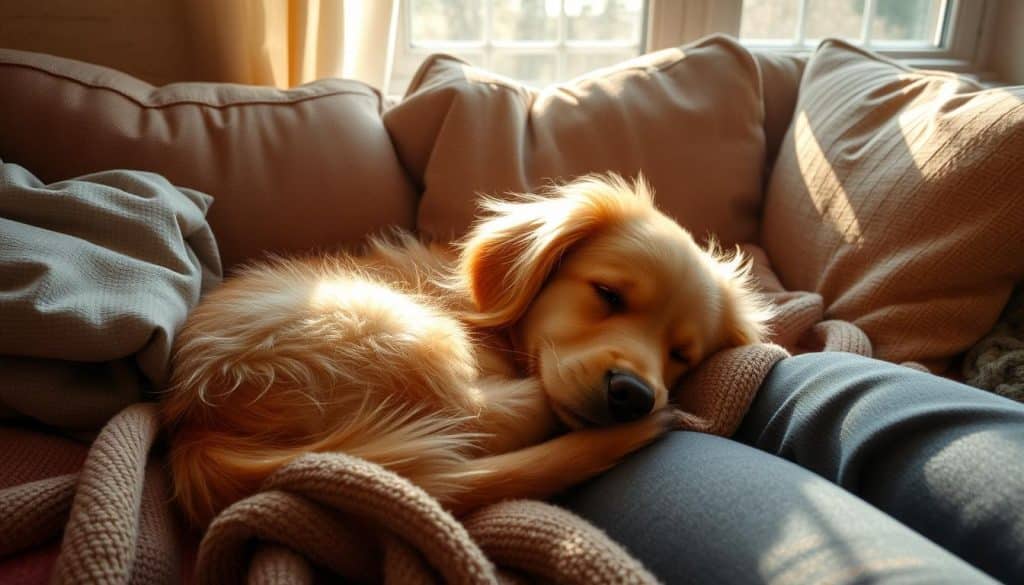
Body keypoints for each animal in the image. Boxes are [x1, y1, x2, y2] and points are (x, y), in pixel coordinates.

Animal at [159, 173, 770, 524]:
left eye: (682, 353)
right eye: (607, 293)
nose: (635, 395)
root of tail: (199, 430)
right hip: (399, 332)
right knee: (481, 420)